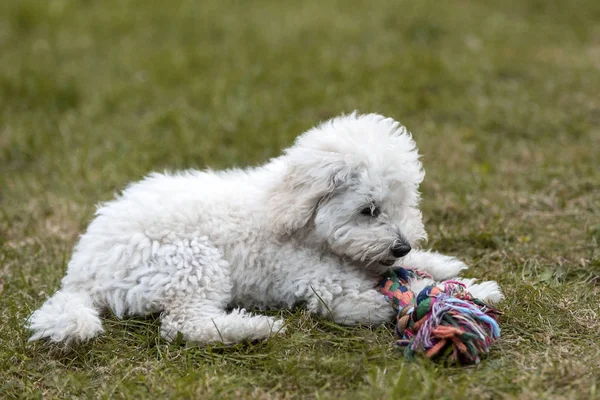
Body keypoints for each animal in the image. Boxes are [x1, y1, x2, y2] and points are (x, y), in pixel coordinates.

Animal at [29, 114, 506, 346]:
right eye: (369, 210)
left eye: (405, 204)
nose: (401, 246)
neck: (304, 225)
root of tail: (81, 272)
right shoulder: (323, 285)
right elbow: (380, 300)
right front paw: (414, 302)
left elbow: (421, 278)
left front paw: (466, 283)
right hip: (190, 261)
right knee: (184, 326)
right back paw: (255, 329)